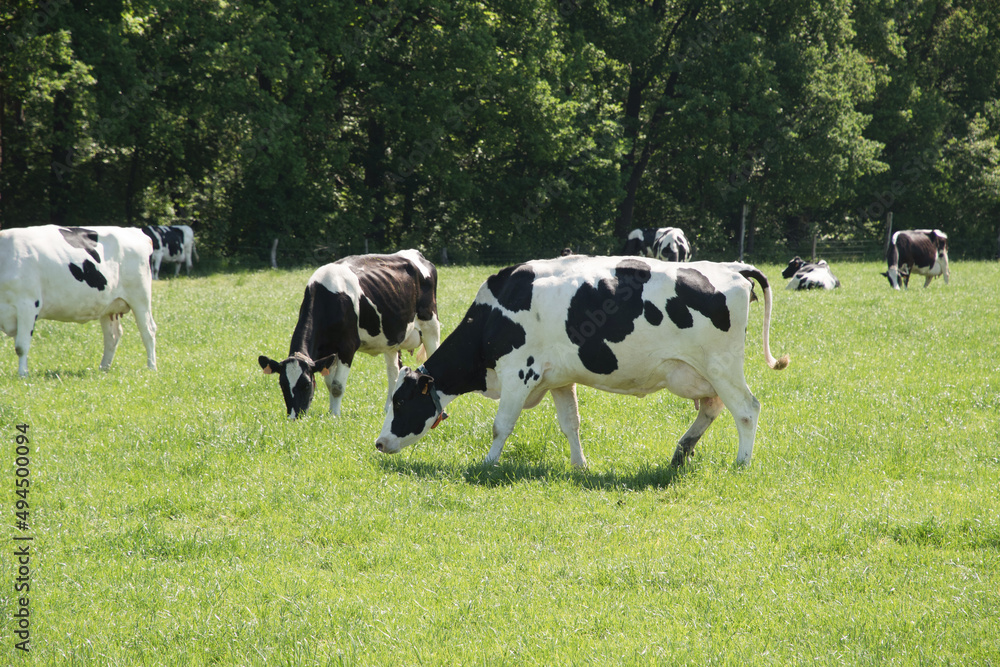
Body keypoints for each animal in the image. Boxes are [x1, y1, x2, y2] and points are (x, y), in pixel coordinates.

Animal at [0, 227, 157, 378]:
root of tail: (136, 231)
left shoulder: (27, 305)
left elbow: (21, 346)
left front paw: (23, 374)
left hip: (140, 297)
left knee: (148, 331)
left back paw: (151, 367)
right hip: (109, 307)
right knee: (112, 336)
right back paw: (103, 369)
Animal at [258, 249, 442, 418]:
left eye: (306, 384)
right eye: (282, 385)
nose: (294, 417)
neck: (328, 300)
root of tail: (415, 253)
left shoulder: (347, 346)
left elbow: (337, 386)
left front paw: (334, 416)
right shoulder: (327, 351)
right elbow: (329, 383)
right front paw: (331, 412)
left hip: (431, 325)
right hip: (391, 338)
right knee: (394, 372)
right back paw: (388, 409)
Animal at [376, 256, 788, 470]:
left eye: (401, 401)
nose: (379, 443)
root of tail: (732, 267)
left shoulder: (519, 372)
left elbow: (501, 425)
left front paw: (488, 464)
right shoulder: (559, 379)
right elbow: (570, 424)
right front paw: (580, 465)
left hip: (722, 366)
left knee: (747, 409)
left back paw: (741, 463)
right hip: (699, 373)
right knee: (712, 407)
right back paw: (681, 451)